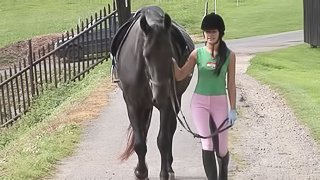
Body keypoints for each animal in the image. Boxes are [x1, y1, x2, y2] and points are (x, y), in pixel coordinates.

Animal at [111, 5, 194, 180]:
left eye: (171, 54)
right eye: (146, 55)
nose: (161, 94)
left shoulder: (167, 106)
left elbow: (163, 140)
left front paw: (164, 173)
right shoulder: (133, 105)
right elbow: (139, 143)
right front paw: (141, 172)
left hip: (175, 101)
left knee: (170, 131)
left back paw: (169, 167)